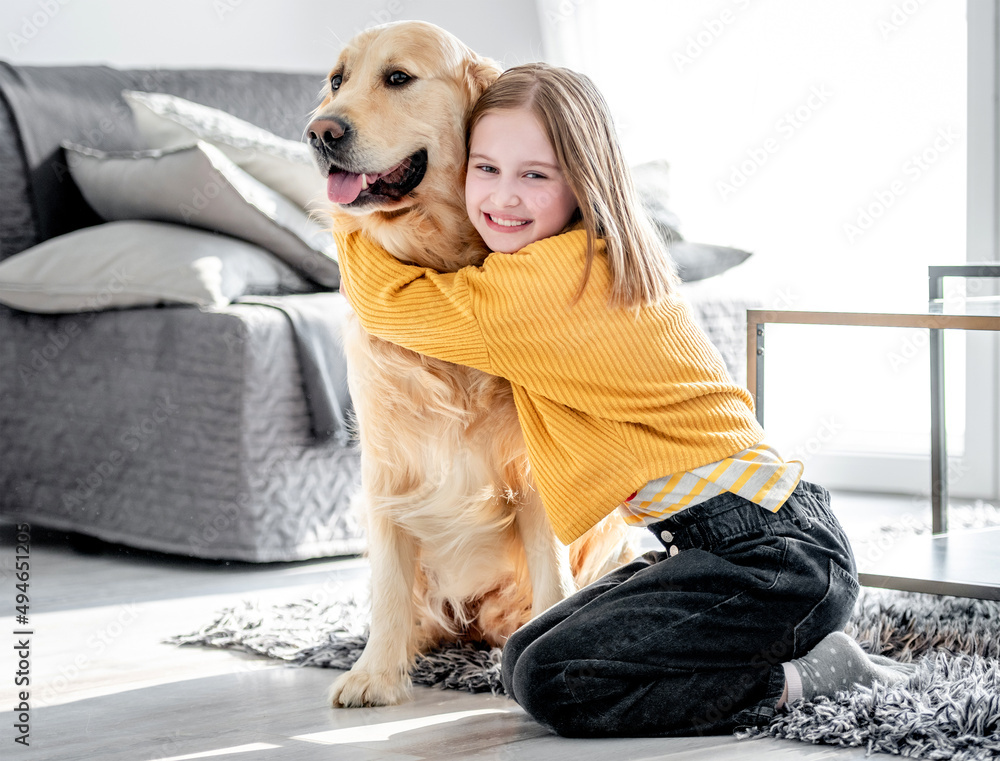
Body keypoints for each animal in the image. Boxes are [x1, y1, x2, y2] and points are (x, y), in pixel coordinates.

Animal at [306, 19, 632, 708]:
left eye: (398, 77)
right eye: (337, 80)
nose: (321, 132)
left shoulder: (534, 471)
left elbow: (551, 574)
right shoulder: (386, 465)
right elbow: (390, 584)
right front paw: (377, 673)